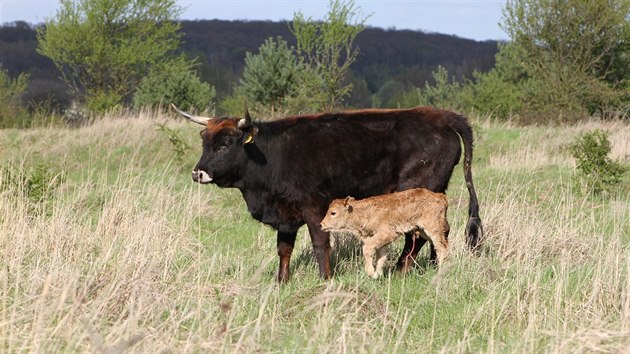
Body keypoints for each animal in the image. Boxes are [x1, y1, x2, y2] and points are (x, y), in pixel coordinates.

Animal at [320, 189, 450, 278]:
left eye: (333, 213)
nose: (321, 225)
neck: (363, 212)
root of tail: (440, 196)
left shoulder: (387, 234)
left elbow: (367, 249)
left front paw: (371, 273)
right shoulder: (379, 240)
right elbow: (381, 256)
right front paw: (377, 274)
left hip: (433, 229)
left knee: (442, 248)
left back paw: (440, 272)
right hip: (424, 232)